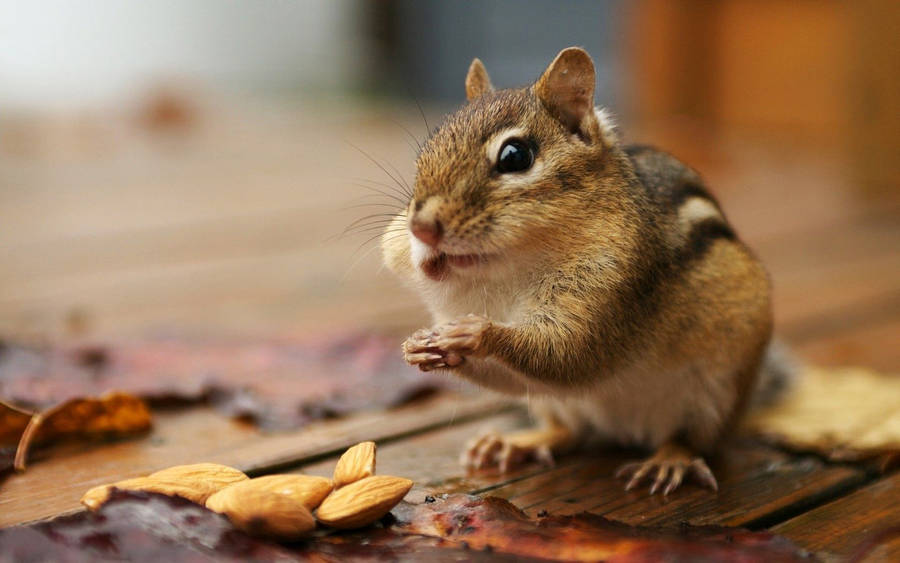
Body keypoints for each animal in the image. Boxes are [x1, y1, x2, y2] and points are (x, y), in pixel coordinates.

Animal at [381, 47, 781, 495]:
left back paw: (668, 461)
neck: (506, 273)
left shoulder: (615, 288)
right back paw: (515, 441)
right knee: (569, 431)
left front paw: (475, 333)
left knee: (691, 438)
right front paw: (418, 346)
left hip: (716, 394)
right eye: (425, 151)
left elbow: (571, 354)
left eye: (515, 156)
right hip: (557, 405)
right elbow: (526, 373)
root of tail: (624, 430)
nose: (421, 228)